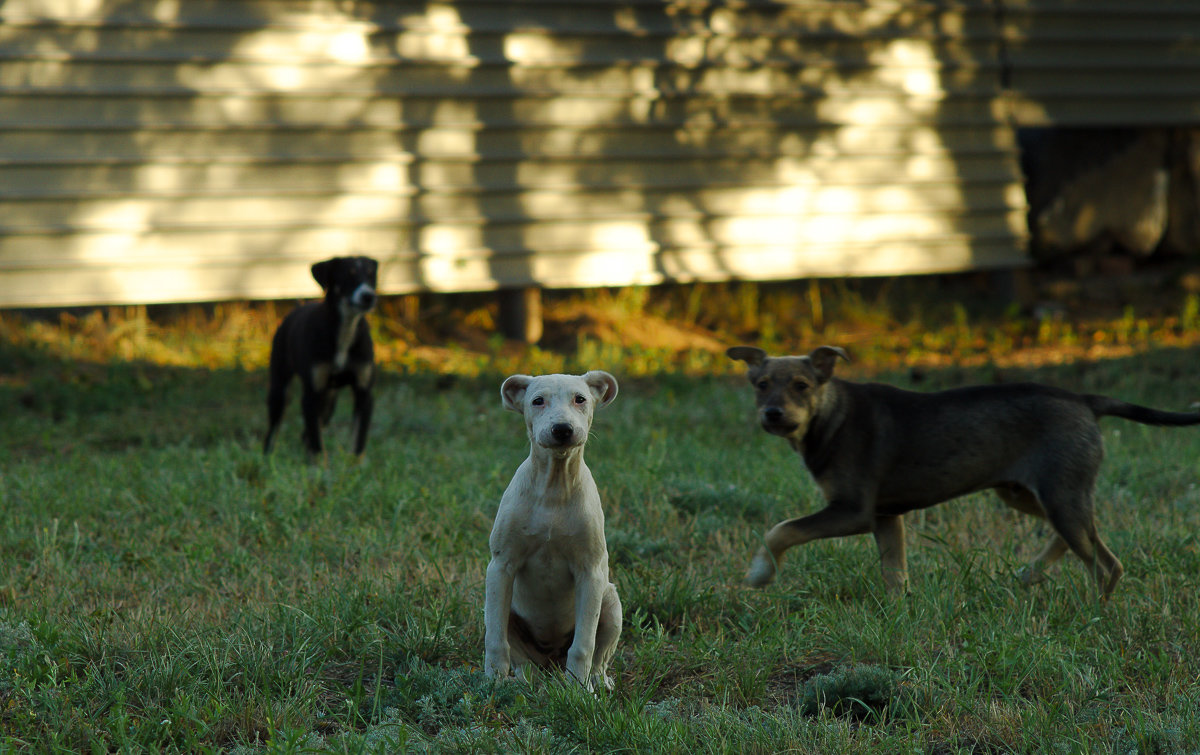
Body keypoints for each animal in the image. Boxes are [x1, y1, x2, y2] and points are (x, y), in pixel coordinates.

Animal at [265, 255, 376, 456]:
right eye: (348, 275)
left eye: (371, 276)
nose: (368, 296)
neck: (345, 332)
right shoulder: (311, 394)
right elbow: (317, 446)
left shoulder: (364, 392)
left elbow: (358, 442)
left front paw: (354, 463)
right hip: (280, 388)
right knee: (272, 433)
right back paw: (267, 457)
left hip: (328, 401)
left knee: (306, 435)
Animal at [482, 367, 624, 691]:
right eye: (537, 401)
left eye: (580, 399)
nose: (562, 429)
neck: (554, 487)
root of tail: (550, 661)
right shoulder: (500, 567)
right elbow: (495, 639)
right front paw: (492, 684)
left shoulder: (590, 571)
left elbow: (584, 644)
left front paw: (580, 691)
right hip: (508, 611)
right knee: (521, 660)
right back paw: (522, 683)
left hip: (610, 602)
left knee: (599, 655)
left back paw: (598, 682)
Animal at [720, 345, 1200, 597]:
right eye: (761, 385)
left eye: (801, 386)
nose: (773, 415)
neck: (829, 417)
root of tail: (1085, 400)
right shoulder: (885, 516)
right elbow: (894, 572)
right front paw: (897, 614)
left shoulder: (852, 510)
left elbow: (780, 530)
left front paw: (760, 574)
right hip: (1027, 492)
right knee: (1076, 539)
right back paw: (1030, 575)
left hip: (1060, 493)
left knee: (1105, 564)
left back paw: (1093, 613)